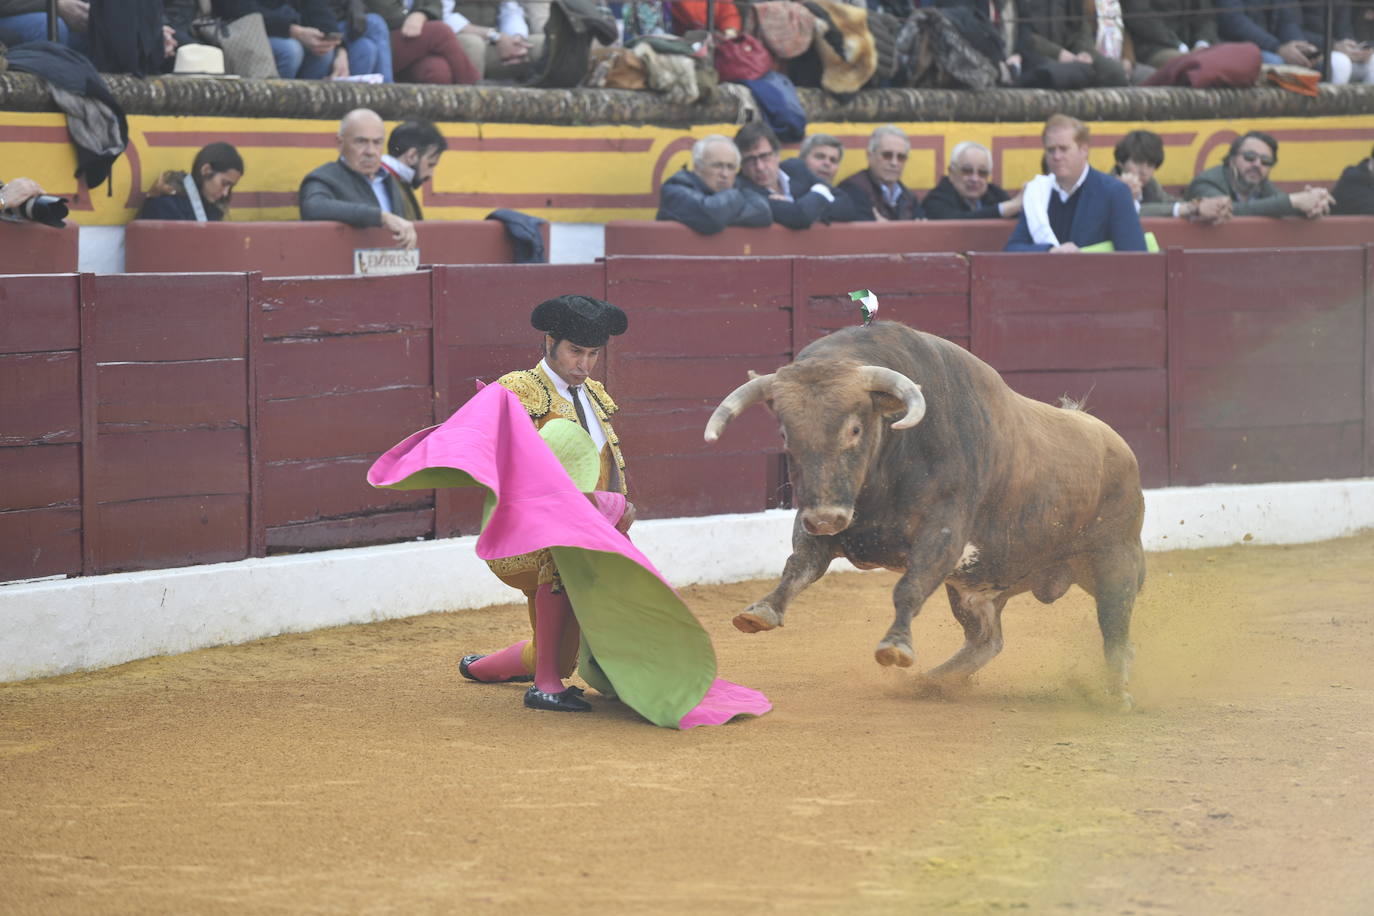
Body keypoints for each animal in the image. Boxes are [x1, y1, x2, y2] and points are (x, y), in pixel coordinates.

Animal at [703, 322, 1143, 708]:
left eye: (855, 429)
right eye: (785, 434)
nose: (826, 518)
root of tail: (1117, 444)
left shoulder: (943, 534)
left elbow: (908, 587)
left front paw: (895, 646)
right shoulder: (819, 519)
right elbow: (798, 566)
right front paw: (760, 612)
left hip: (1115, 560)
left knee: (1116, 626)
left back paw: (1117, 695)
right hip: (976, 586)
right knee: (987, 640)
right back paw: (932, 682)